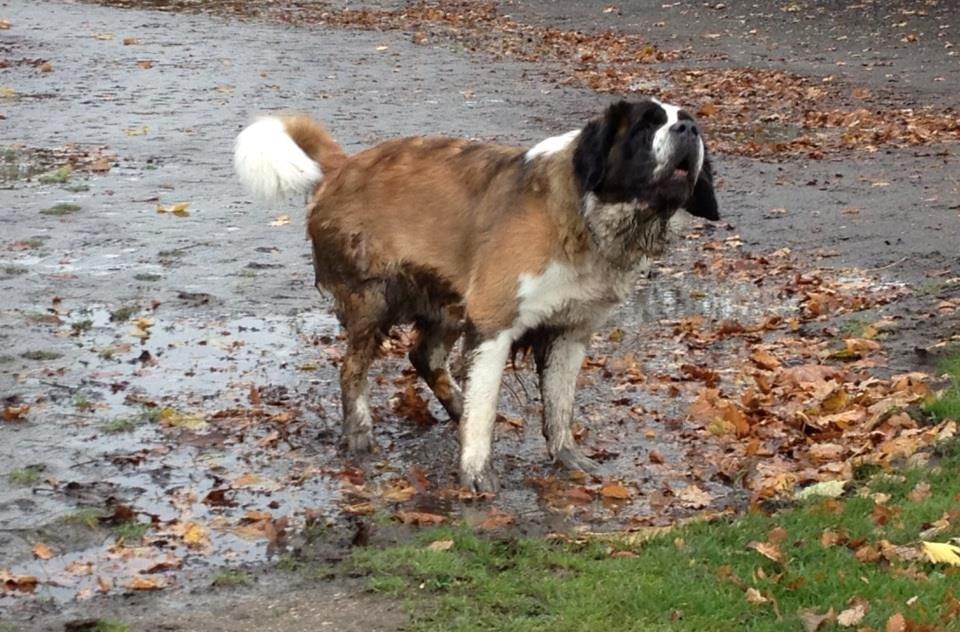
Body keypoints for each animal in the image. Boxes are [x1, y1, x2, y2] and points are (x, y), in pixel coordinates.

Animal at [236, 100, 720, 494]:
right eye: (645, 126)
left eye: (687, 121)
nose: (688, 129)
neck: (586, 213)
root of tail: (346, 164)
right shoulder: (494, 322)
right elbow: (486, 407)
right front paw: (476, 474)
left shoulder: (570, 331)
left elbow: (559, 406)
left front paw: (568, 458)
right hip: (371, 300)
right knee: (352, 369)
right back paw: (360, 433)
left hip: (445, 301)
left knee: (425, 357)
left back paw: (455, 407)